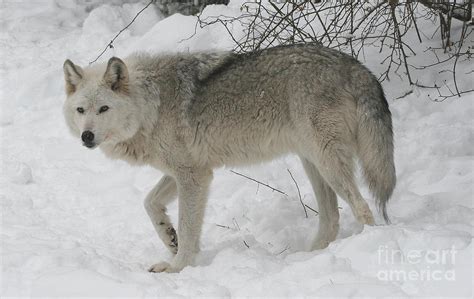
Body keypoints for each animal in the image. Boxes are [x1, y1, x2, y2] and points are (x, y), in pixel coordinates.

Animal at [63, 44, 396, 274]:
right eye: (81, 110)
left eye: (103, 109)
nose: (87, 136)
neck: (150, 106)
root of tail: (355, 66)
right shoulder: (185, 172)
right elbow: (150, 203)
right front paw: (169, 239)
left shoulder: (194, 177)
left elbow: (188, 229)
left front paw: (178, 266)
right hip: (313, 164)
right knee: (331, 218)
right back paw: (309, 257)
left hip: (327, 163)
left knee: (363, 208)